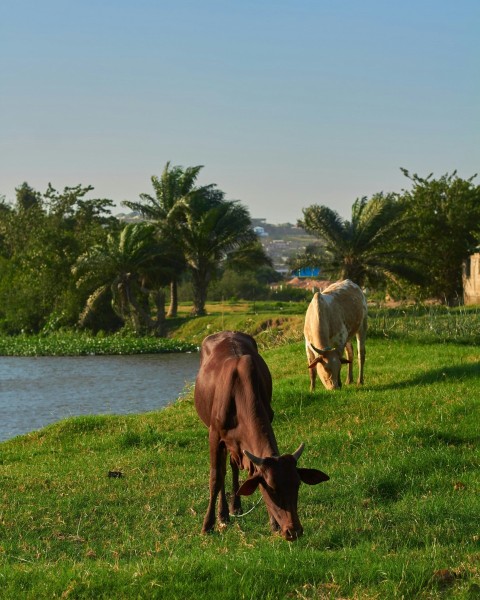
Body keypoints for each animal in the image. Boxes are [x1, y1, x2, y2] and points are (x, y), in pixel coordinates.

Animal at [193, 330, 328, 540]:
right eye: (271, 488)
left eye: (297, 484)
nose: (294, 531)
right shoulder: (214, 435)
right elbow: (215, 478)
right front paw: (207, 525)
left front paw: (273, 524)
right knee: (222, 472)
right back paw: (223, 514)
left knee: (233, 466)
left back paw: (235, 507)